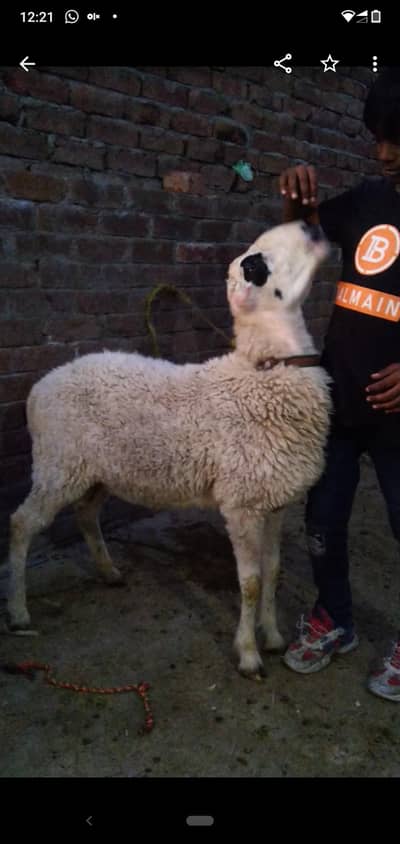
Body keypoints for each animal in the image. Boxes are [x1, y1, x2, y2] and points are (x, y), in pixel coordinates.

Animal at [6, 219, 332, 680]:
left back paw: (109, 571)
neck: (268, 372)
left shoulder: (274, 499)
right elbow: (250, 582)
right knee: (21, 523)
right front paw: (249, 654)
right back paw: (18, 612)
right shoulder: (241, 502)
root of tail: (39, 388)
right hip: (58, 464)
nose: (310, 223)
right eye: (257, 266)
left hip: (99, 469)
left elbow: (272, 571)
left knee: (86, 514)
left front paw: (272, 636)